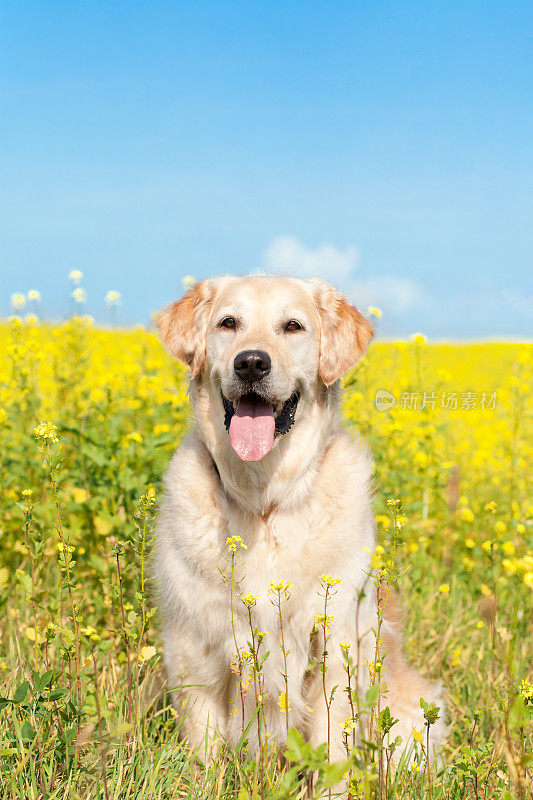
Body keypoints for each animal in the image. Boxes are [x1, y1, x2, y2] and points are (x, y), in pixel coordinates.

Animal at [154, 274, 444, 776]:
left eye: (293, 326)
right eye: (228, 322)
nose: (251, 363)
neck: (265, 504)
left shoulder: (335, 650)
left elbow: (332, 750)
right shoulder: (195, 648)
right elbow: (204, 749)